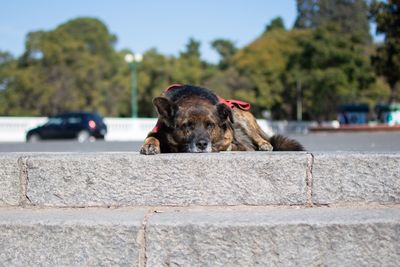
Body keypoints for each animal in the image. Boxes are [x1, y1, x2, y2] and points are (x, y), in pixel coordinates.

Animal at [141, 84, 304, 155]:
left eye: (210, 125)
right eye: (187, 125)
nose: (202, 145)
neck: (192, 98)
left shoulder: (228, 135)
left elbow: (223, 143)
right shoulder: (156, 130)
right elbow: (152, 137)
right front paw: (150, 145)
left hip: (238, 114)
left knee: (257, 139)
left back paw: (263, 144)